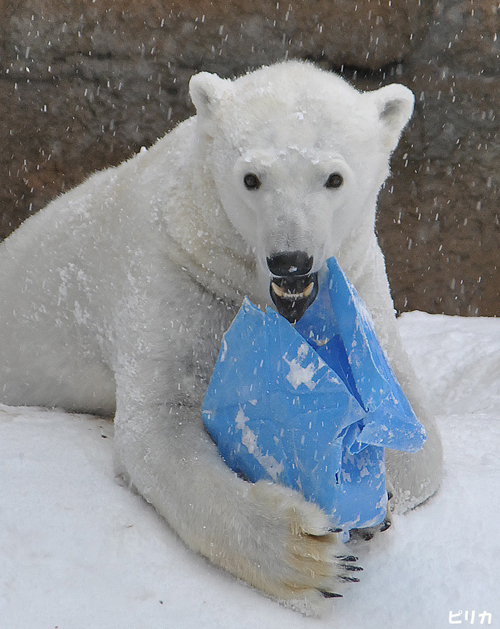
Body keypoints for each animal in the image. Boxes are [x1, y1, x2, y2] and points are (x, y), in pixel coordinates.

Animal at [0, 62, 442, 612]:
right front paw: (311, 558)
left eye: (334, 177)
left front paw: (372, 493)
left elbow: (413, 424)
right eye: (251, 178)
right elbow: (160, 426)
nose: (290, 261)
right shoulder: (174, 271)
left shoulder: (358, 275)